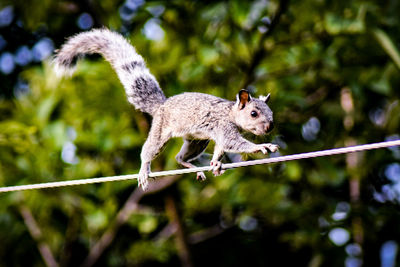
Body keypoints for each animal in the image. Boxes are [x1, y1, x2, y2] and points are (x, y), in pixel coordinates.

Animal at [53, 28, 278, 191]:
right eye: (253, 113)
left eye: (271, 114)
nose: (269, 128)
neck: (231, 113)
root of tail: (162, 105)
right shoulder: (224, 127)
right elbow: (233, 143)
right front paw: (262, 147)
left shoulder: (219, 134)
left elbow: (221, 148)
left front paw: (216, 163)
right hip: (161, 131)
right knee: (149, 150)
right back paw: (144, 170)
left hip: (197, 141)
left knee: (179, 157)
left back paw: (195, 168)